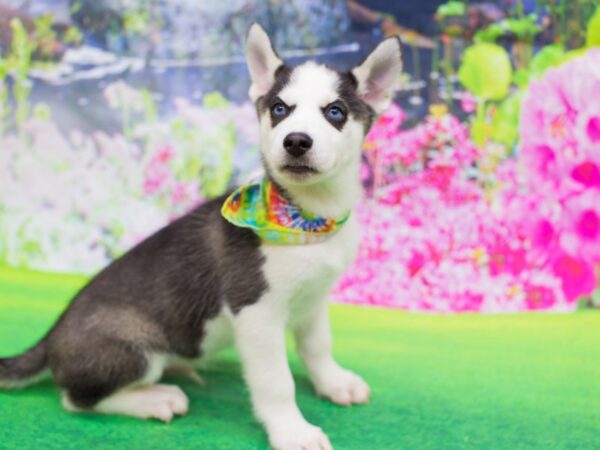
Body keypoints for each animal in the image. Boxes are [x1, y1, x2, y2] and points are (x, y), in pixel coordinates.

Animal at [1, 24, 404, 450]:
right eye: (279, 109)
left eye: (335, 112)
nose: (296, 141)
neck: (307, 219)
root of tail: (50, 338)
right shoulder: (256, 313)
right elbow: (277, 382)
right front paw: (292, 431)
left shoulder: (312, 300)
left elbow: (317, 346)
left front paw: (334, 383)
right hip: (135, 349)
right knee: (76, 398)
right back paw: (155, 398)